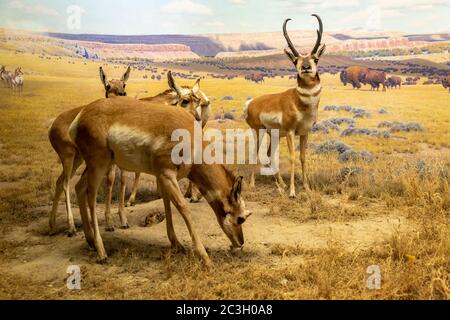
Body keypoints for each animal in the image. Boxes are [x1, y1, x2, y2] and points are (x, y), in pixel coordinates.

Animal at [68, 97, 250, 264]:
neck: (191, 137)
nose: (240, 243)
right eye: (241, 218)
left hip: (98, 165)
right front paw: (204, 257)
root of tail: (82, 114)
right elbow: (184, 208)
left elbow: (167, 204)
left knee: (79, 187)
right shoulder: (167, 175)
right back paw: (101, 251)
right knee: (90, 195)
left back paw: (90, 241)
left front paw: (176, 244)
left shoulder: (163, 177)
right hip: (99, 164)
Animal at [244, 15, 326, 200]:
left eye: (315, 58)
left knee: (268, 155)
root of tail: (252, 102)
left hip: (274, 135)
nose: (305, 68)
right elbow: (292, 157)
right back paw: (252, 184)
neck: (300, 102)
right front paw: (293, 192)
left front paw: (307, 188)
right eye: (296, 60)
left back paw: (280, 184)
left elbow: (302, 157)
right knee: (255, 153)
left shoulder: (304, 132)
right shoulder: (290, 132)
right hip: (259, 131)